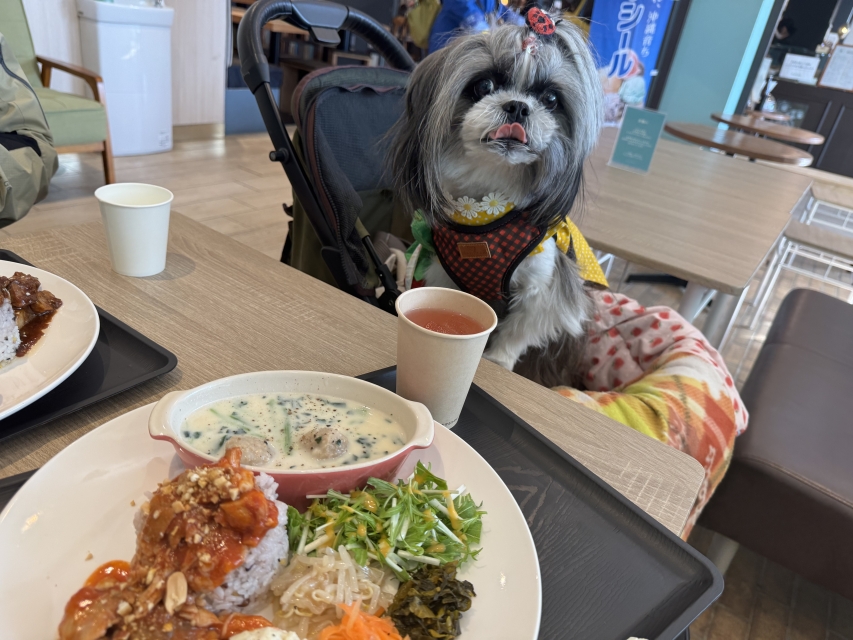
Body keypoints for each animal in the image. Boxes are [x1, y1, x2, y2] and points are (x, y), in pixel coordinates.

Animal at [389, 11, 605, 388]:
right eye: (484, 85)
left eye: (551, 99)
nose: (518, 106)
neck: (485, 210)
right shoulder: (446, 276)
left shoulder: (542, 283)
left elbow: (525, 324)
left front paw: (499, 359)